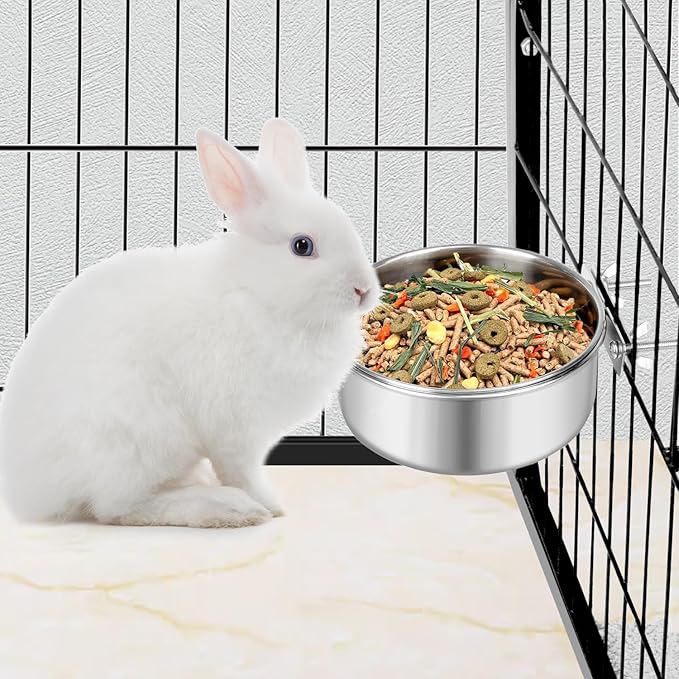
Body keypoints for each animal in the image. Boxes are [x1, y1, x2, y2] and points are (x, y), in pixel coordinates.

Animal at [0, 118, 379, 528]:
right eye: (302, 246)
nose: (363, 290)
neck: (256, 293)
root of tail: (28, 491)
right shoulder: (235, 428)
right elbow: (241, 472)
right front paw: (270, 506)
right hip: (141, 440)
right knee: (119, 507)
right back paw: (227, 508)